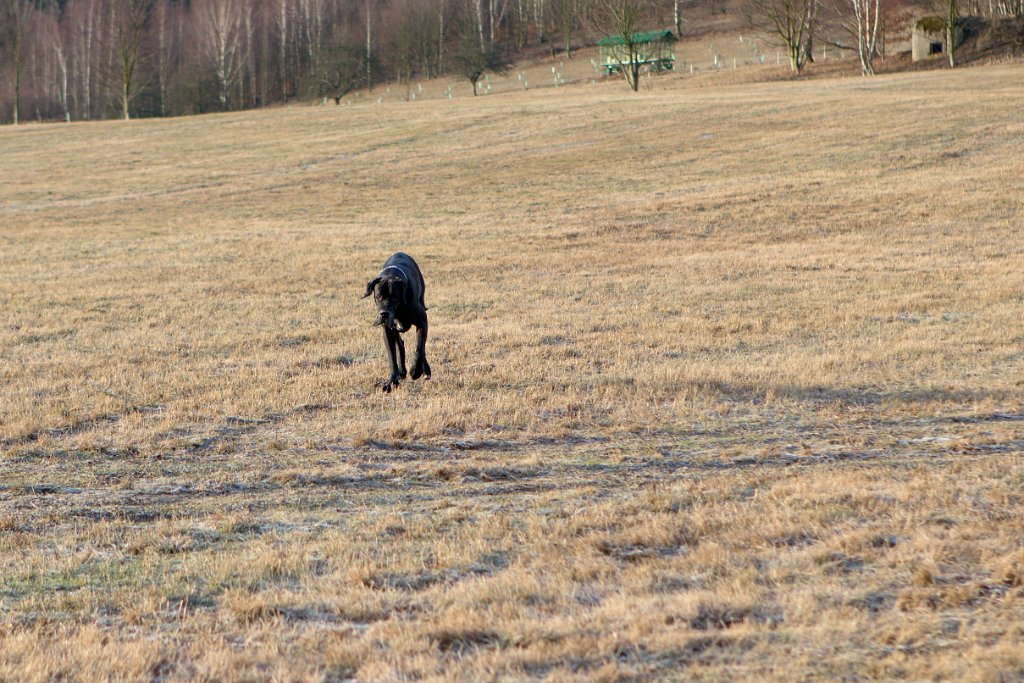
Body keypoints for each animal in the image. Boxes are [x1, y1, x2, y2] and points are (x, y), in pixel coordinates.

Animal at [362, 252, 430, 393]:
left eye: (394, 297)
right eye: (377, 296)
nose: (384, 314)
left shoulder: (422, 322)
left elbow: (419, 348)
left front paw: (415, 371)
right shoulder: (387, 331)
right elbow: (392, 356)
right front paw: (392, 381)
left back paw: (424, 370)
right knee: (400, 344)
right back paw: (402, 372)